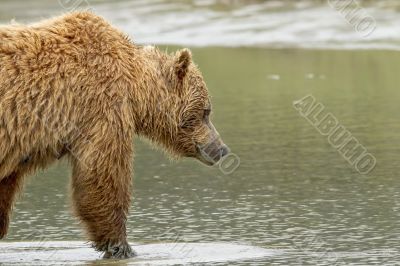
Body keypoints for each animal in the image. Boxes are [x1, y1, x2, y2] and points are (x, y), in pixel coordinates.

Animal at [0, 11, 228, 258]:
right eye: (206, 111)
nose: (221, 149)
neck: (136, 86)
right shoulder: (102, 108)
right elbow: (103, 176)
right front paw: (122, 246)